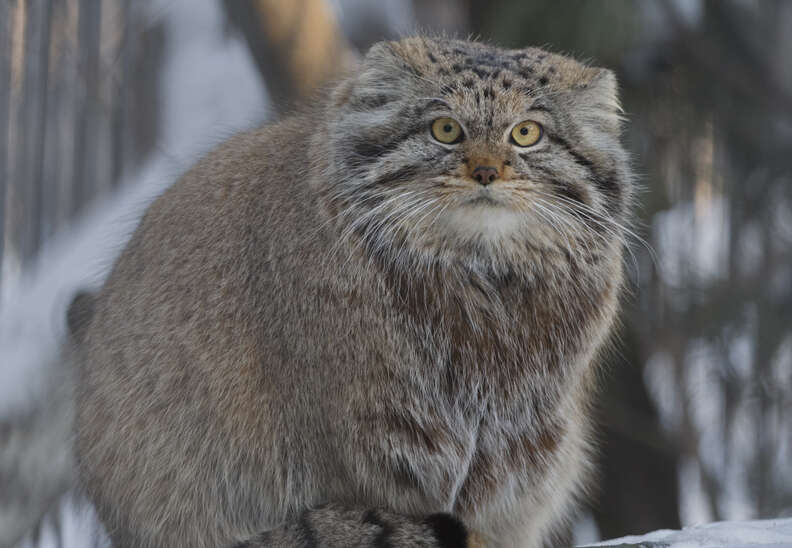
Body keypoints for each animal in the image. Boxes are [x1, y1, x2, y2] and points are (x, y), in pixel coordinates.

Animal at [71, 36, 636, 544]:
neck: (479, 283)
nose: (485, 171)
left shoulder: (519, 451)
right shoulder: (360, 445)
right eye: (445, 129)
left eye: (526, 133)